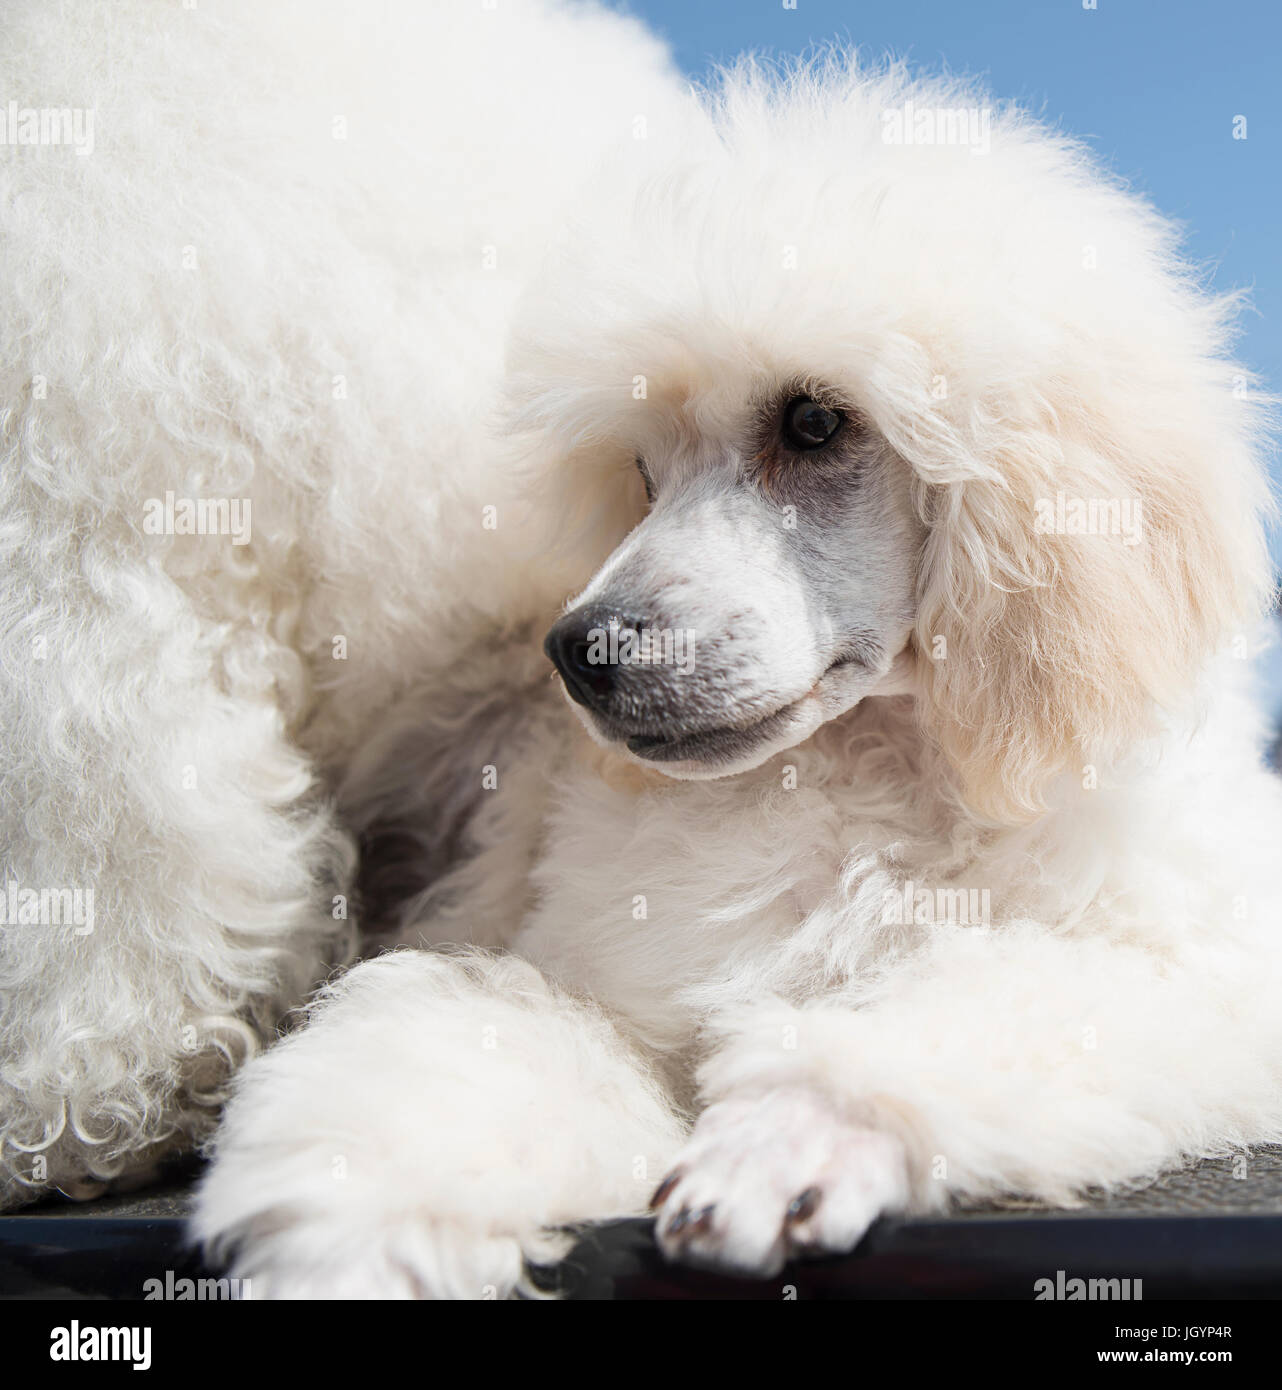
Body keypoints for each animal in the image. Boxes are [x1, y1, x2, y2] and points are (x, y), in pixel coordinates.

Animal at [2, 2, 1279, 1301]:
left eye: (813, 421)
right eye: (641, 474)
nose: (582, 651)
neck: (870, 775)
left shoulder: (1201, 966)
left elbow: (974, 1006)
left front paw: (794, 1135)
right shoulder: (603, 996)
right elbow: (467, 1053)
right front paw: (352, 1233)